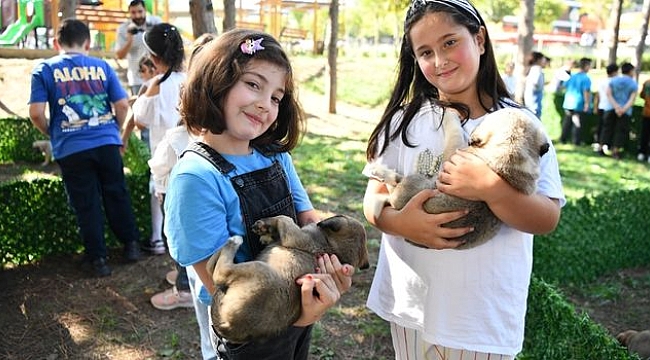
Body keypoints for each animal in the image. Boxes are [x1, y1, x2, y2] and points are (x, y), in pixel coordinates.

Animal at [208, 214, 370, 344]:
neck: (333, 247)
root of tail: (228, 326)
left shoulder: (295, 237)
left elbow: (285, 218)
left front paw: (266, 226)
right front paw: (266, 233)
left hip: (259, 270)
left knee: (217, 271)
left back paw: (233, 241)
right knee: (211, 267)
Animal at [370, 108, 548, 249]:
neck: (511, 154)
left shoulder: (452, 153)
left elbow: (453, 130)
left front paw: (450, 113)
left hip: (410, 186)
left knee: (394, 187)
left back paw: (380, 172)